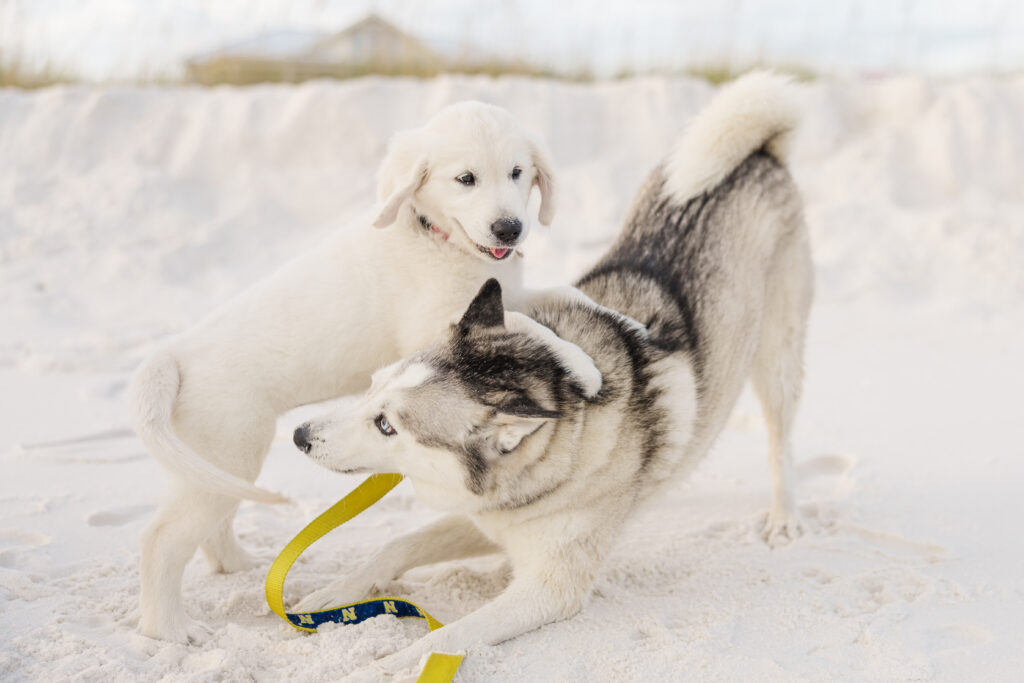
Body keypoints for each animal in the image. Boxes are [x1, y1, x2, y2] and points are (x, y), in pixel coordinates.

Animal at [130, 98, 561, 643]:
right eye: (466, 179)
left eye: (517, 172)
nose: (509, 229)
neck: (434, 236)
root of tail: (175, 353)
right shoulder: (435, 324)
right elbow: (525, 320)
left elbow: (554, 295)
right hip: (228, 448)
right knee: (161, 538)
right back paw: (169, 629)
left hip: (217, 460)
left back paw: (239, 566)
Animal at [292, 72, 811, 675]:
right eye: (371, 385)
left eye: (387, 425)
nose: (299, 435)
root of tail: (760, 154)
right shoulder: (485, 519)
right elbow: (396, 545)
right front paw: (336, 595)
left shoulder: (548, 589)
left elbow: (444, 638)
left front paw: (384, 665)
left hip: (778, 358)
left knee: (781, 442)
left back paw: (784, 514)